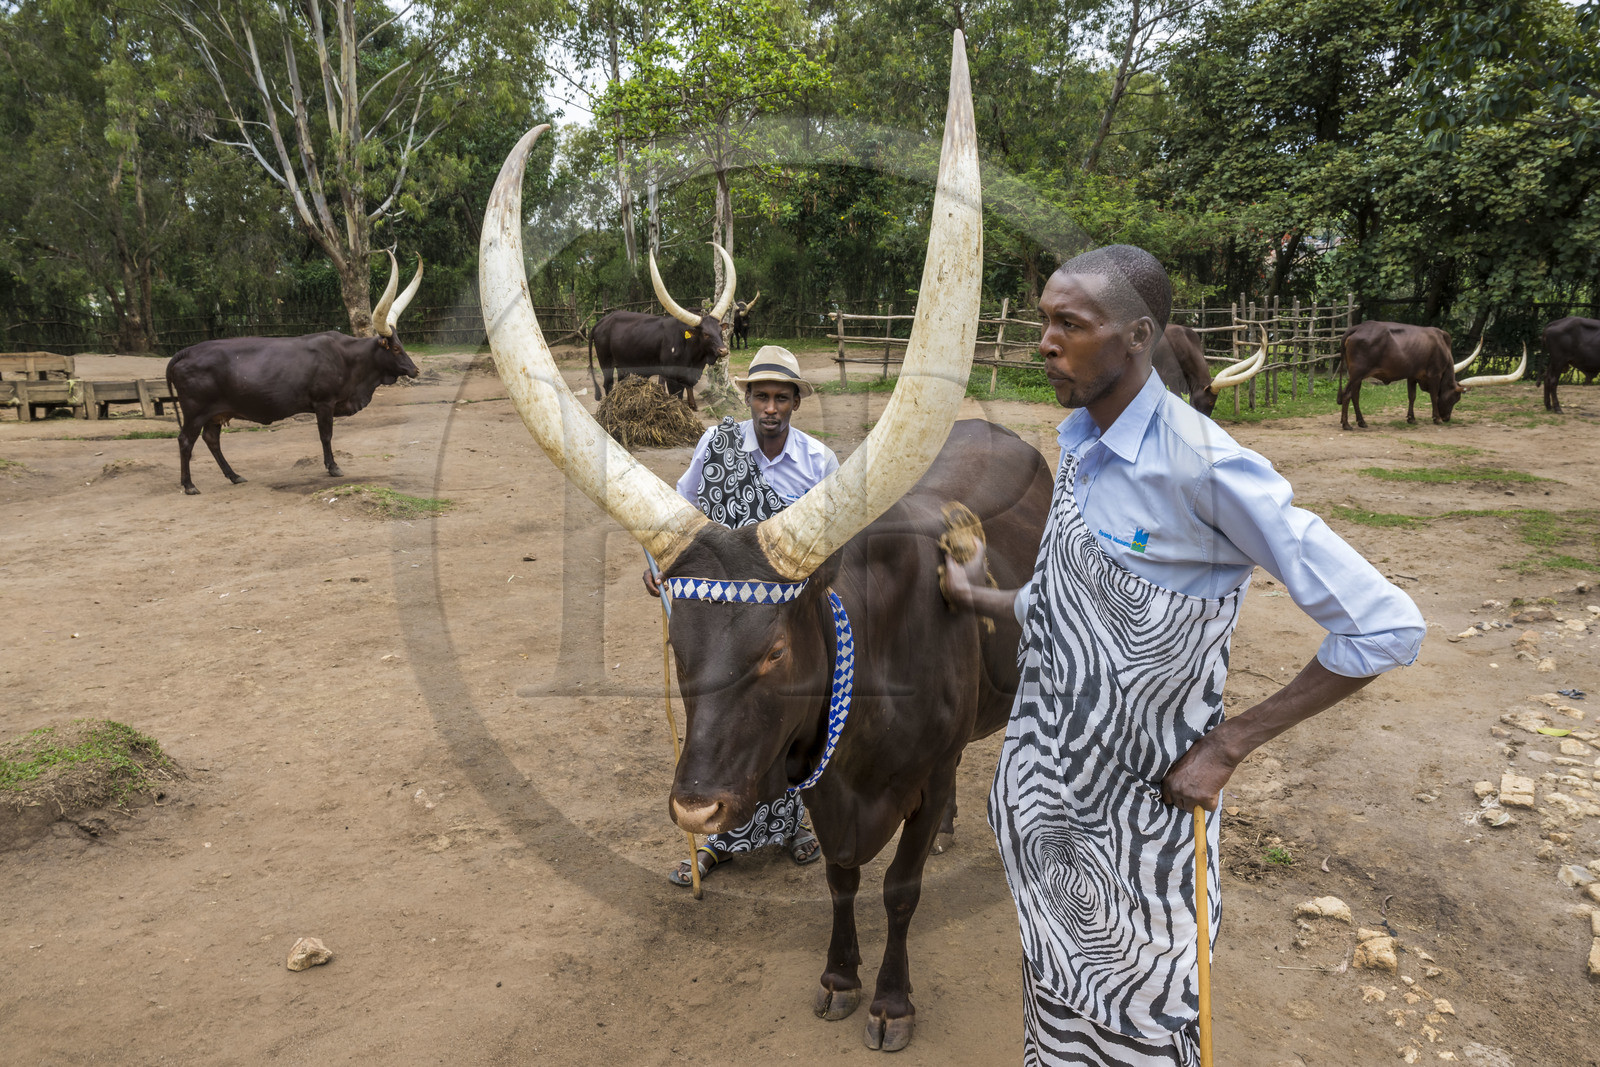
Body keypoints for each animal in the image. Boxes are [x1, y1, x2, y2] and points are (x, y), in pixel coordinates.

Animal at [167, 252, 422, 494]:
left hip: (215, 414)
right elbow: (326, 435)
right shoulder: (324, 403)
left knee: (211, 440)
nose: (415, 369)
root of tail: (186, 352)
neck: (348, 358)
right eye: (395, 348)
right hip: (195, 412)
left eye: (402, 345)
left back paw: (234, 475)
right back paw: (189, 485)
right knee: (185, 441)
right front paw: (333, 467)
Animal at [587, 246, 737, 410]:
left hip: (623, 364)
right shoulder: (672, 379)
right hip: (605, 363)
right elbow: (677, 399)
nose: (723, 350)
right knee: (608, 384)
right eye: (705, 334)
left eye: (720, 331)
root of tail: (601, 322)